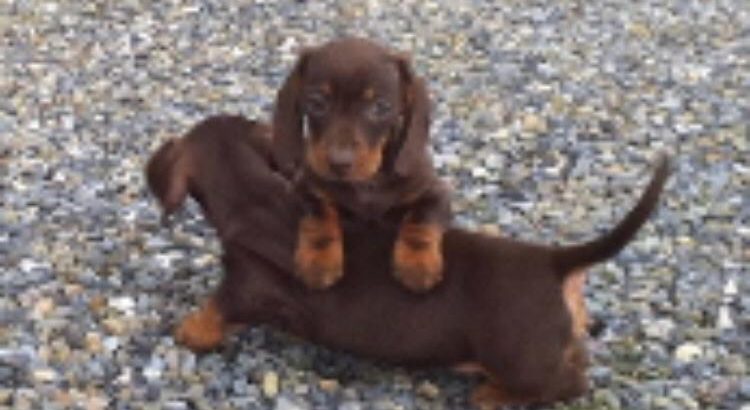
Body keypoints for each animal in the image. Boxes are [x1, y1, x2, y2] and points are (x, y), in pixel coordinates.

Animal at [145, 114, 668, 406]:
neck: (253, 195)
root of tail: (556, 262)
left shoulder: (248, 285)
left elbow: (217, 307)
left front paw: (189, 331)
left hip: (516, 356)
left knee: (567, 384)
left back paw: (493, 395)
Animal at [272, 36, 450, 292]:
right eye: (316, 103)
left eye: (380, 107)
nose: (339, 162)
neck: (369, 182)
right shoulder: (304, 188)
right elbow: (319, 215)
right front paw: (320, 257)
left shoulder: (437, 192)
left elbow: (421, 218)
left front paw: (417, 262)